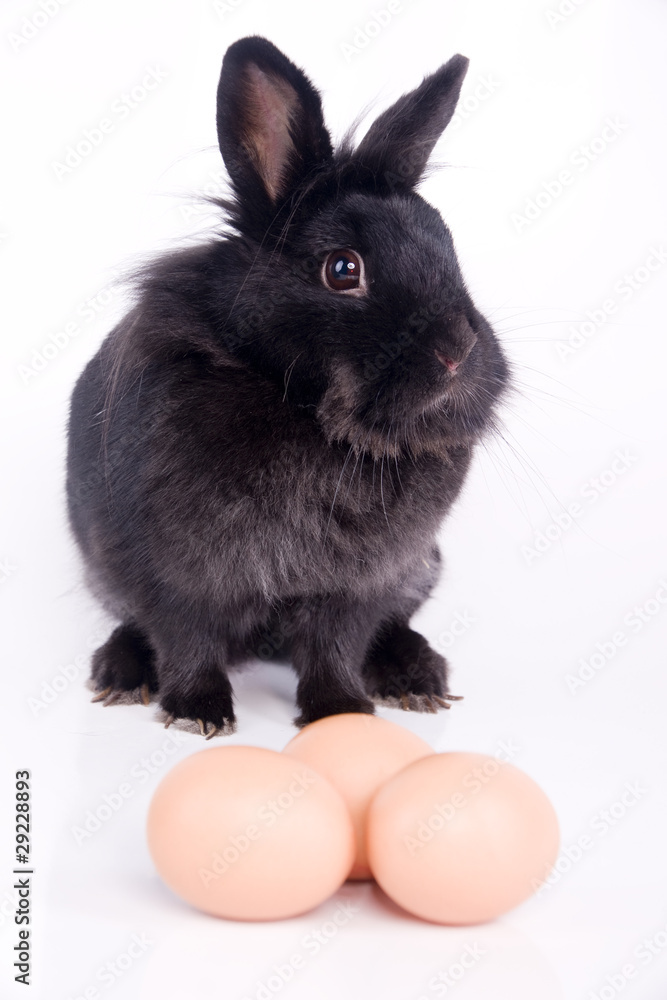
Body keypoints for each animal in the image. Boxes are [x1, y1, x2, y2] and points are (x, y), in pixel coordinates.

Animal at [66, 35, 510, 738]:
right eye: (343, 269)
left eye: (449, 248)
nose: (458, 352)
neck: (308, 413)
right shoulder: (175, 572)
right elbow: (186, 637)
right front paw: (197, 714)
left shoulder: (361, 585)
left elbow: (336, 646)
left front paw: (341, 713)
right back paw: (120, 674)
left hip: (423, 568)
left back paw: (417, 678)